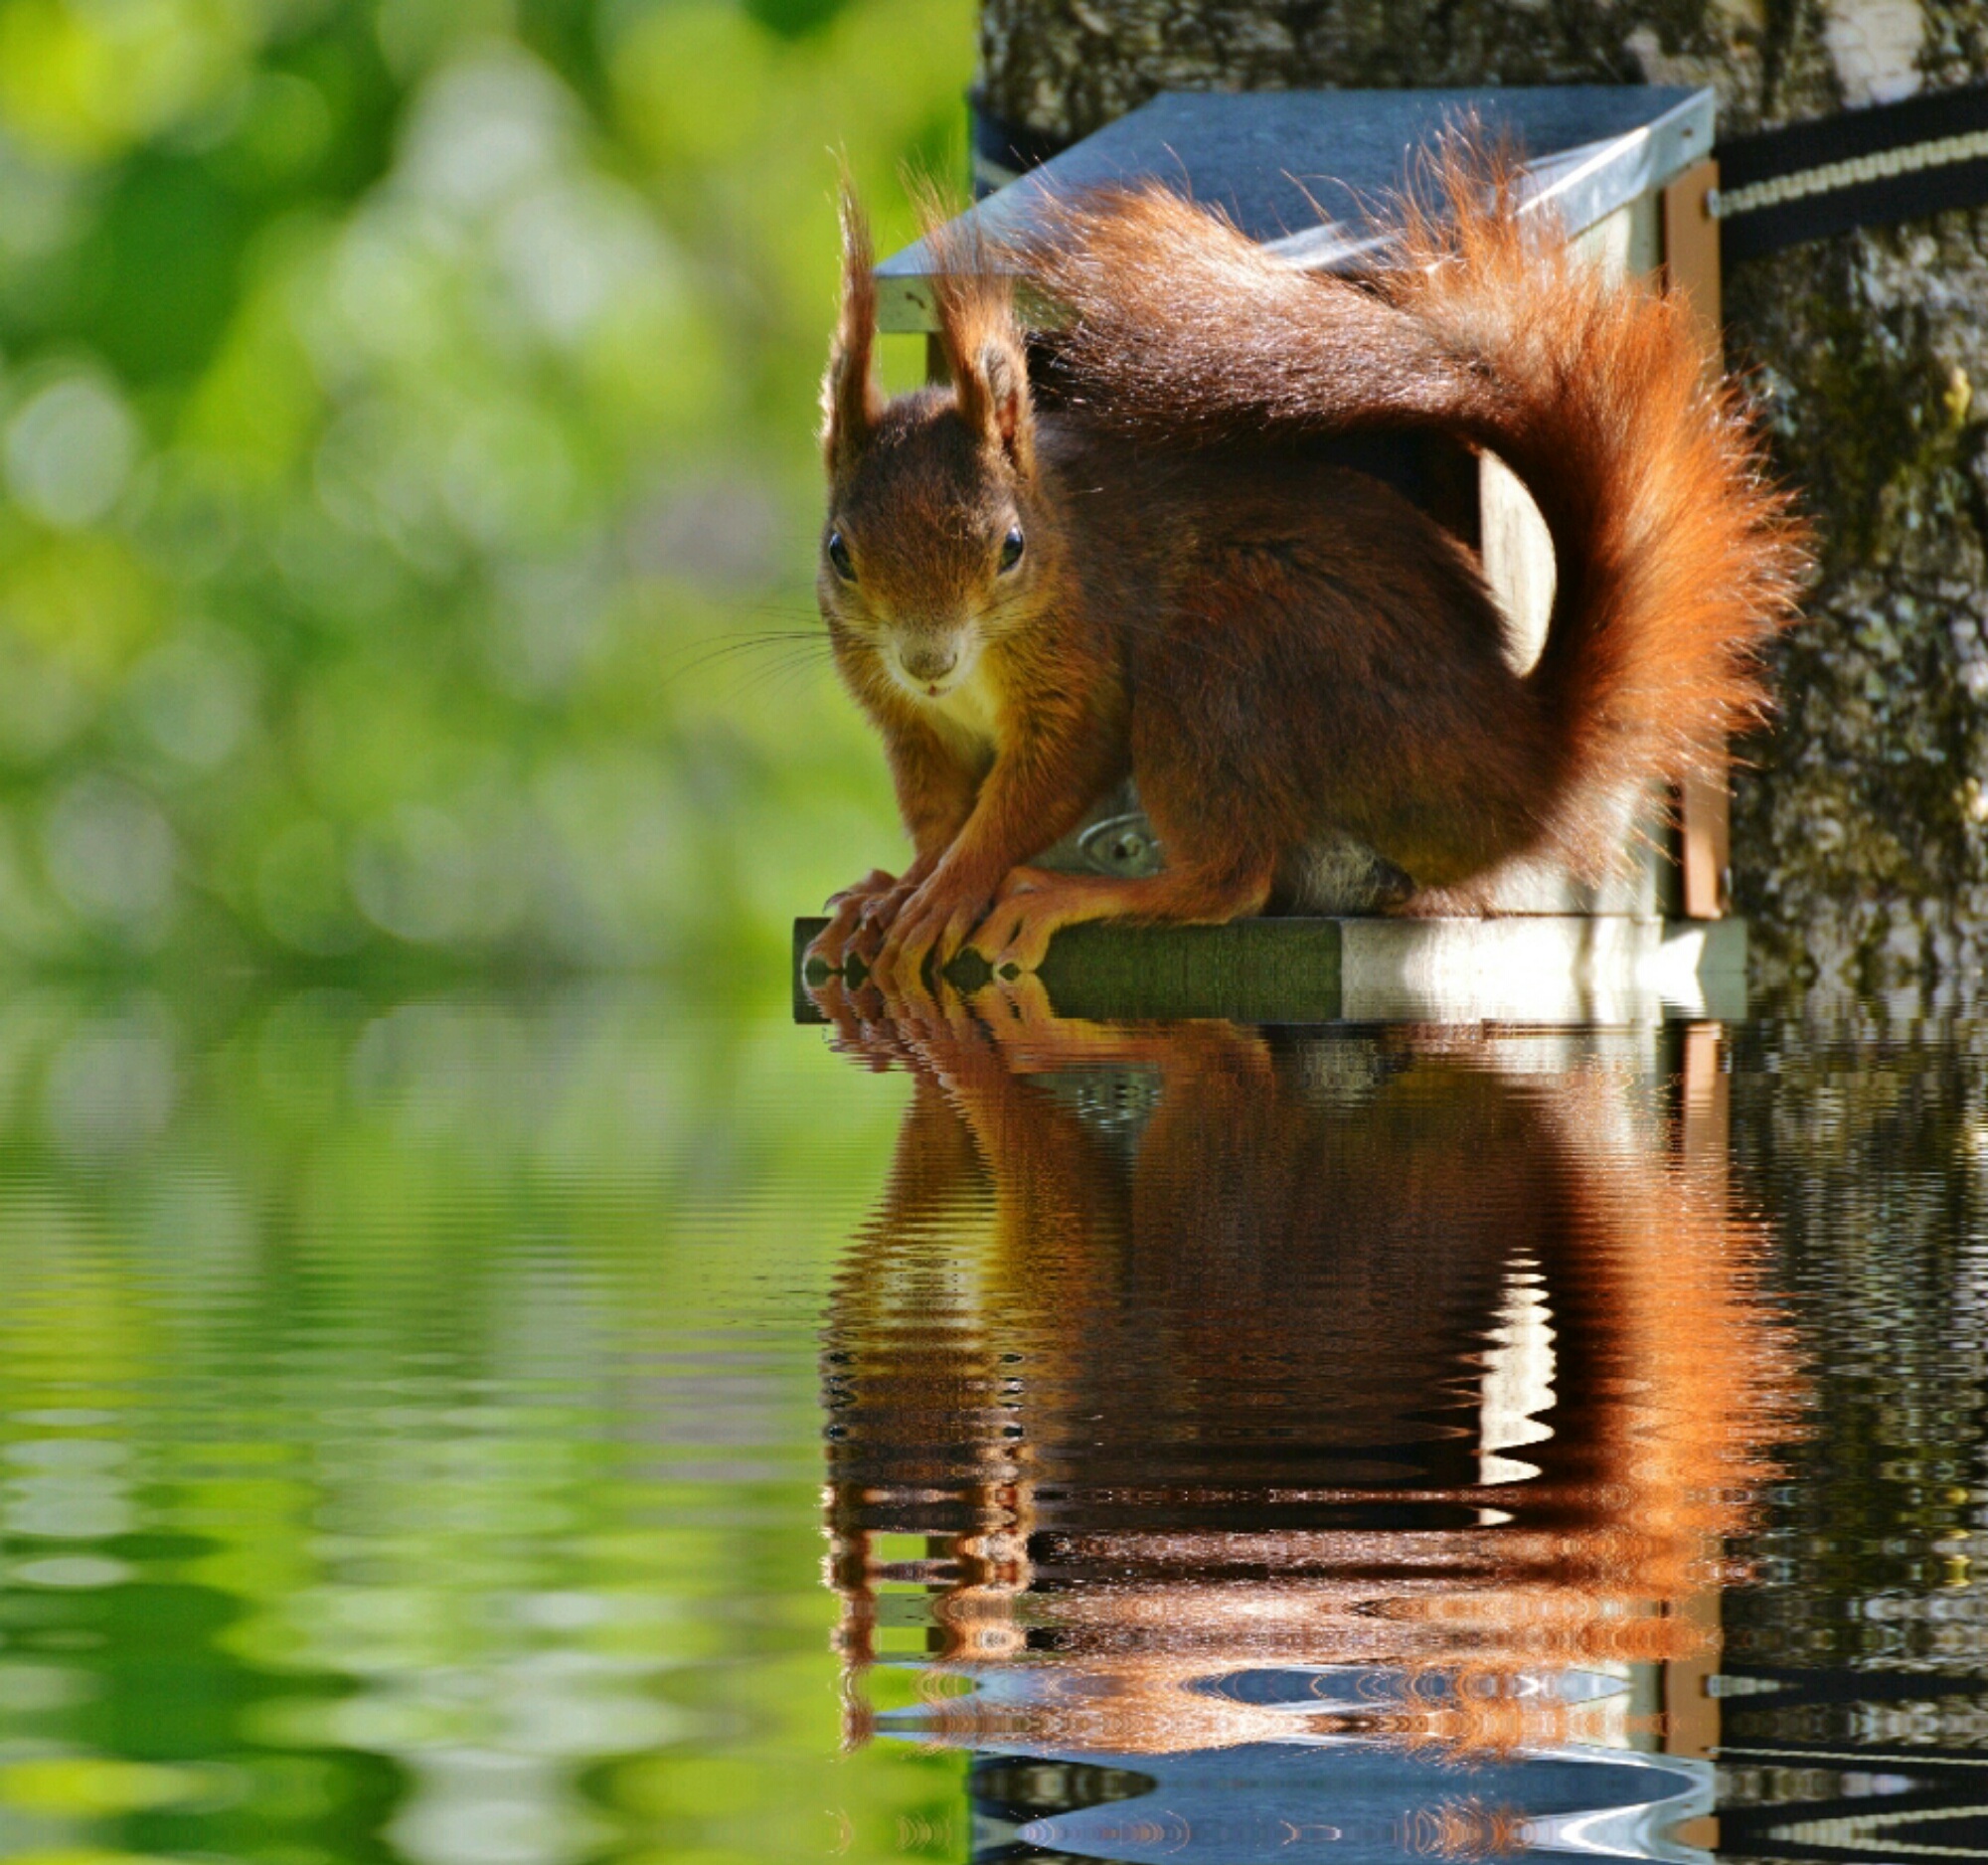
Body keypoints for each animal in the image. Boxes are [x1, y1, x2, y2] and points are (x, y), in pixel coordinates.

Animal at [799, 156, 1813, 990]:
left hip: (1232, 655)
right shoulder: (914, 728)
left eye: (1010, 547)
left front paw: (956, 885)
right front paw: (898, 887)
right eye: (839, 551)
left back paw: (1074, 894)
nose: (928, 660)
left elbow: (1047, 780)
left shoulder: (1083, 663)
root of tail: (1520, 764)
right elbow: (940, 813)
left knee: (1232, 879)